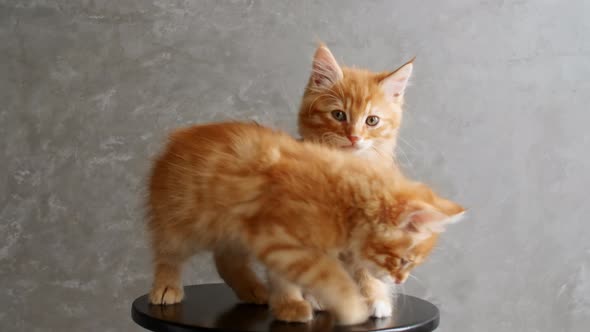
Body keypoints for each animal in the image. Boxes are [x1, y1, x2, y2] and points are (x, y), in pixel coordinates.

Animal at [147, 121, 462, 324]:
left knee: (226, 261)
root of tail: (176, 139)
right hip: (184, 223)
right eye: (404, 261)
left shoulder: (278, 246)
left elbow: (287, 277)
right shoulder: (279, 238)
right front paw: (349, 306)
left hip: (232, 232)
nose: (401, 280)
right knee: (167, 253)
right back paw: (166, 288)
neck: (342, 201)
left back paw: (253, 290)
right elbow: (330, 276)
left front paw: (288, 305)